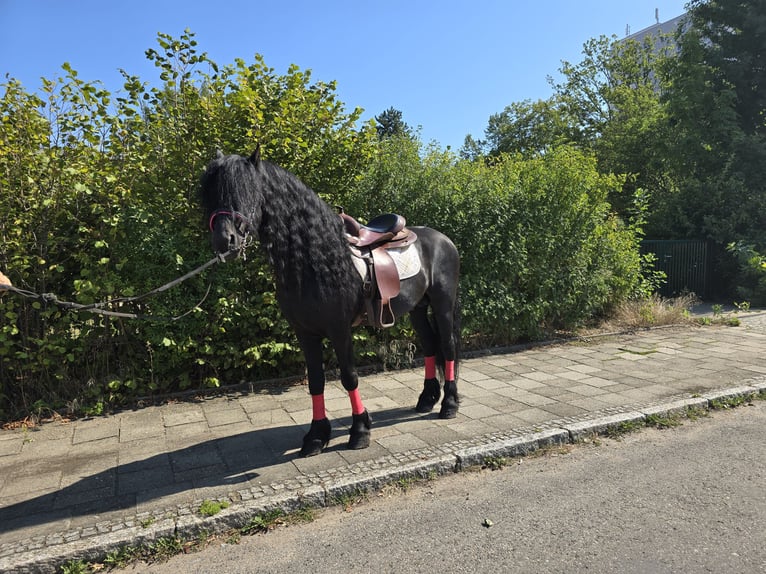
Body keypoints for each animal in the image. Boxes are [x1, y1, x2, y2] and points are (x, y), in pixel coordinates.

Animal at [200, 150, 462, 460]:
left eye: (247, 190)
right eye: (210, 194)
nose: (224, 241)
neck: (316, 258)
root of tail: (443, 239)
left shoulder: (339, 329)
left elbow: (349, 377)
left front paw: (359, 431)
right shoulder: (305, 333)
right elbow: (316, 381)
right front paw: (316, 436)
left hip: (443, 303)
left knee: (447, 346)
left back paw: (449, 405)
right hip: (418, 309)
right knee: (431, 346)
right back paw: (426, 400)